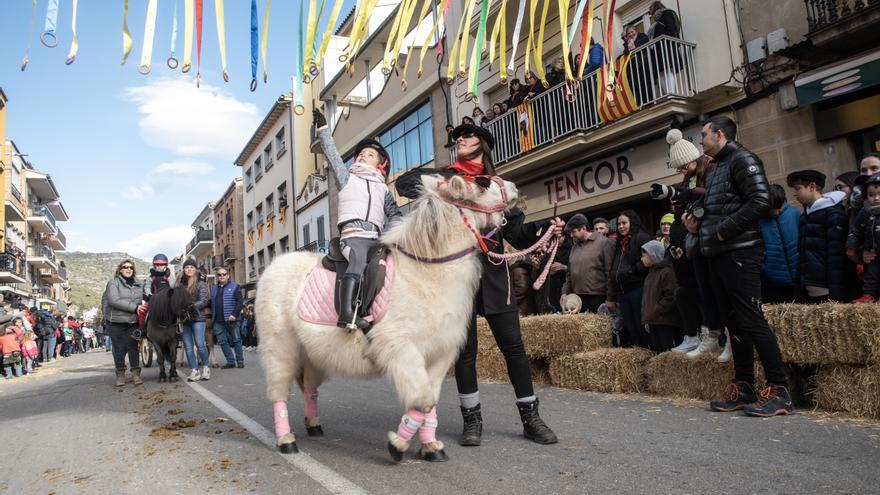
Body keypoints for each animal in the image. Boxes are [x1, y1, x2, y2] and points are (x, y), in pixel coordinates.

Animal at [256, 172, 516, 464]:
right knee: (279, 392)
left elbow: (429, 403)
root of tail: (273, 267)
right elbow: (423, 399)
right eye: (482, 184)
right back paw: (286, 440)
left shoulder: (440, 354)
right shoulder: (401, 348)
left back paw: (313, 424)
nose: (514, 188)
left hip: (312, 354)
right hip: (281, 348)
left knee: (310, 388)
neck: (425, 271)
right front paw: (397, 445)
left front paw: (430, 447)